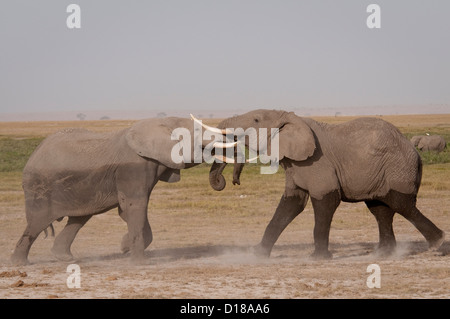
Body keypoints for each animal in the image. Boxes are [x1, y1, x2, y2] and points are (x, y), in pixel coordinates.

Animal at [10, 117, 229, 264]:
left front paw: (125, 247)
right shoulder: (133, 167)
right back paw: (20, 263)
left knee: (78, 219)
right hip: (39, 187)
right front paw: (139, 262)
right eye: (200, 133)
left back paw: (65, 258)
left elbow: (129, 210)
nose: (220, 180)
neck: (159, 123)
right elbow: (134, 206)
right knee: (38, 222)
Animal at [201, 110, 446, 260]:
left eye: (256, 121)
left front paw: (317, 257)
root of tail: (414, 152)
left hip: (398, 168)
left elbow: (326, 201)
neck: (288, 117)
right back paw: (383, 254)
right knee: (380, 209)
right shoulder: (296, 165)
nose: (234, 181)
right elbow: (290, 205)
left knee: (401, 204)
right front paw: (258, 255)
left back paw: (438, 244)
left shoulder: (318, 163)